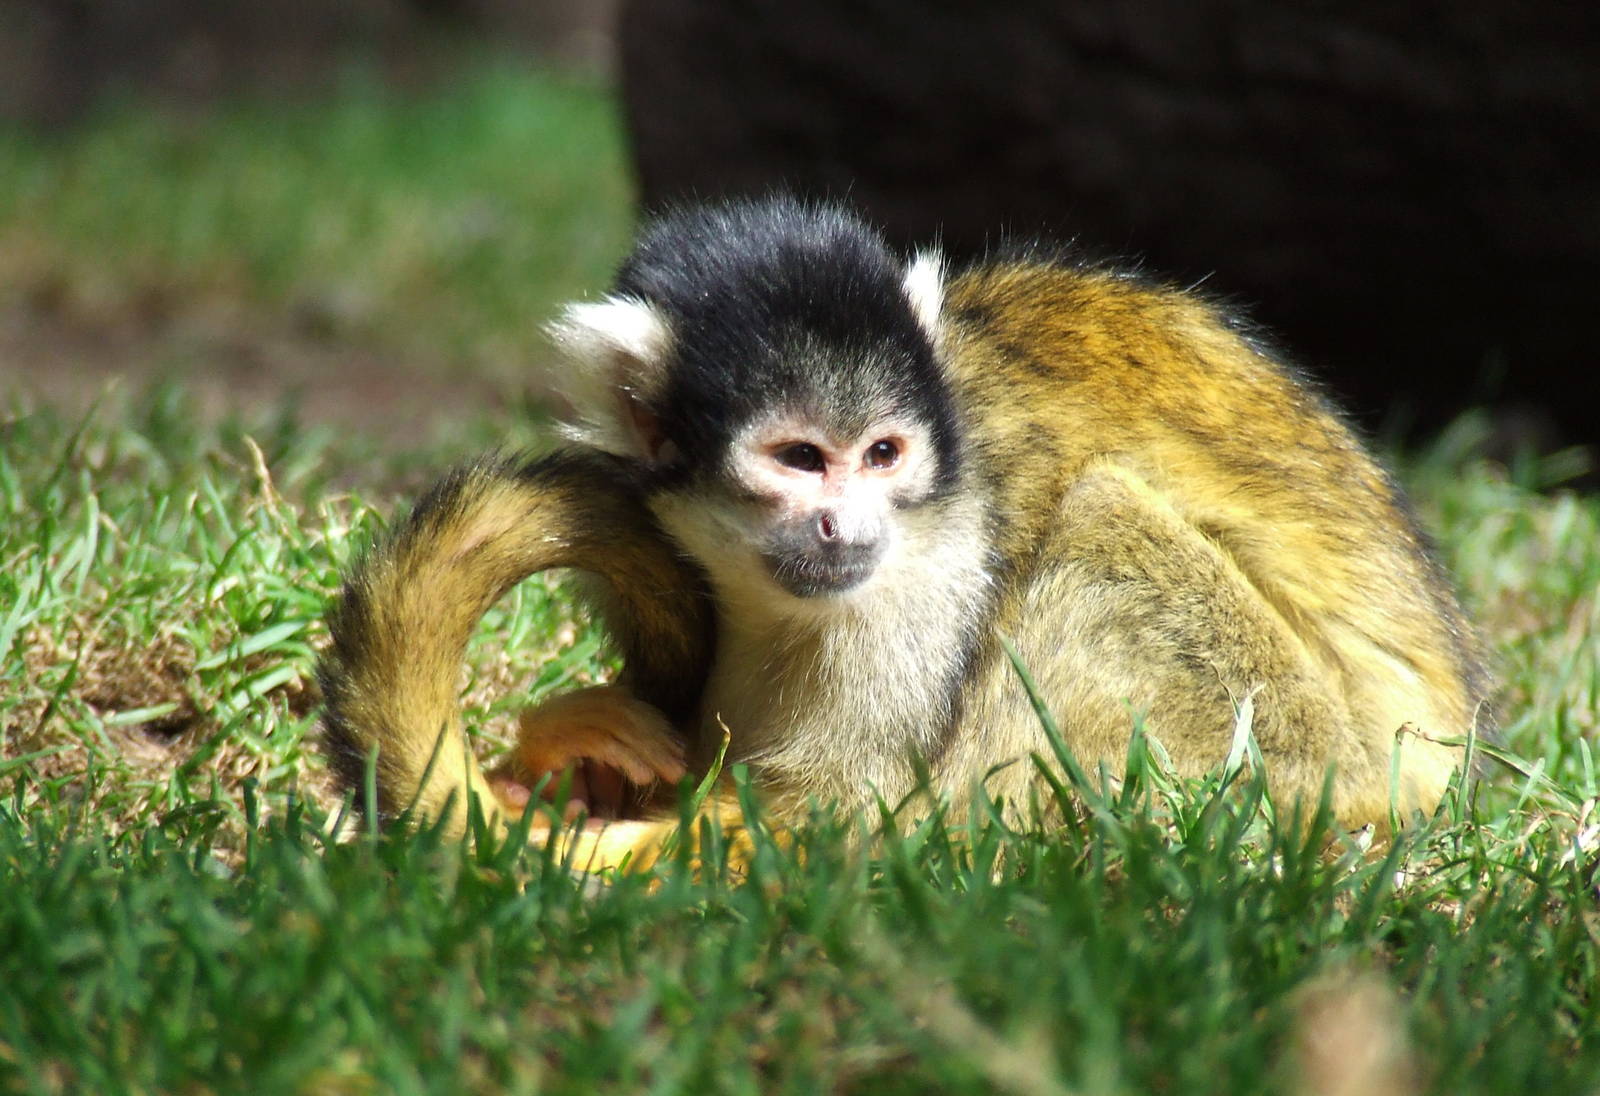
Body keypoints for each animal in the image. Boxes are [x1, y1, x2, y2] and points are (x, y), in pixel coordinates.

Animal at [318, 195, 1489, 871]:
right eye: (801, 460)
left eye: (882, 454)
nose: (846, 525)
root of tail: (1442, 778)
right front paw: (570, 752)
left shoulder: (932, 570)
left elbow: (836, 818)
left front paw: (591, 846)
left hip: (1308, 763)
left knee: (1095, 530)